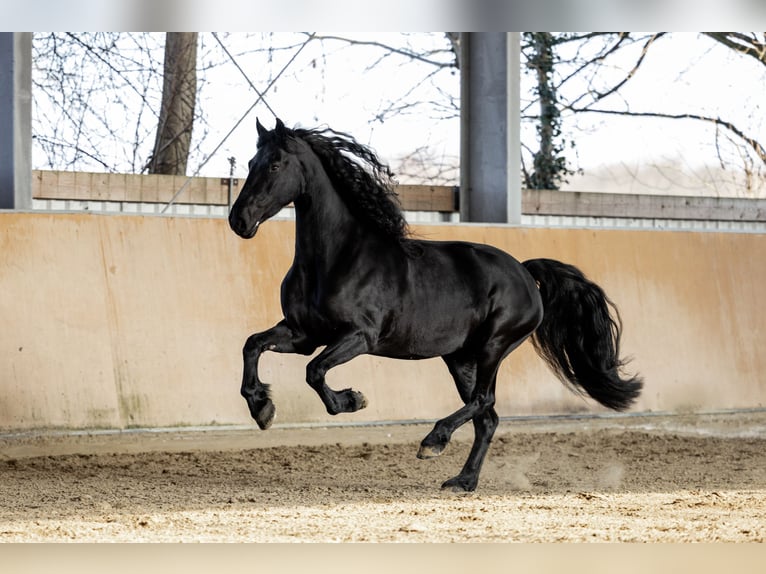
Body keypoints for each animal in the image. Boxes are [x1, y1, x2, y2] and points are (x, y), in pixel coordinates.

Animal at [228, 119, 640, 492]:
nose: (238, 221)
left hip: (494, 347)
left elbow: (314, 372)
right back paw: (462, 481)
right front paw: (262, 408)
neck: (337, 258)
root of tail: (524, 272)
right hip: (460, 358)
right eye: (249, 163)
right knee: (487, 417)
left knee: (484, 401)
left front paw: (352, 400)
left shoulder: (359, 336)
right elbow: (252, 345)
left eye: (275, 164)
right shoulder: (303, 334)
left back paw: (433, 443)